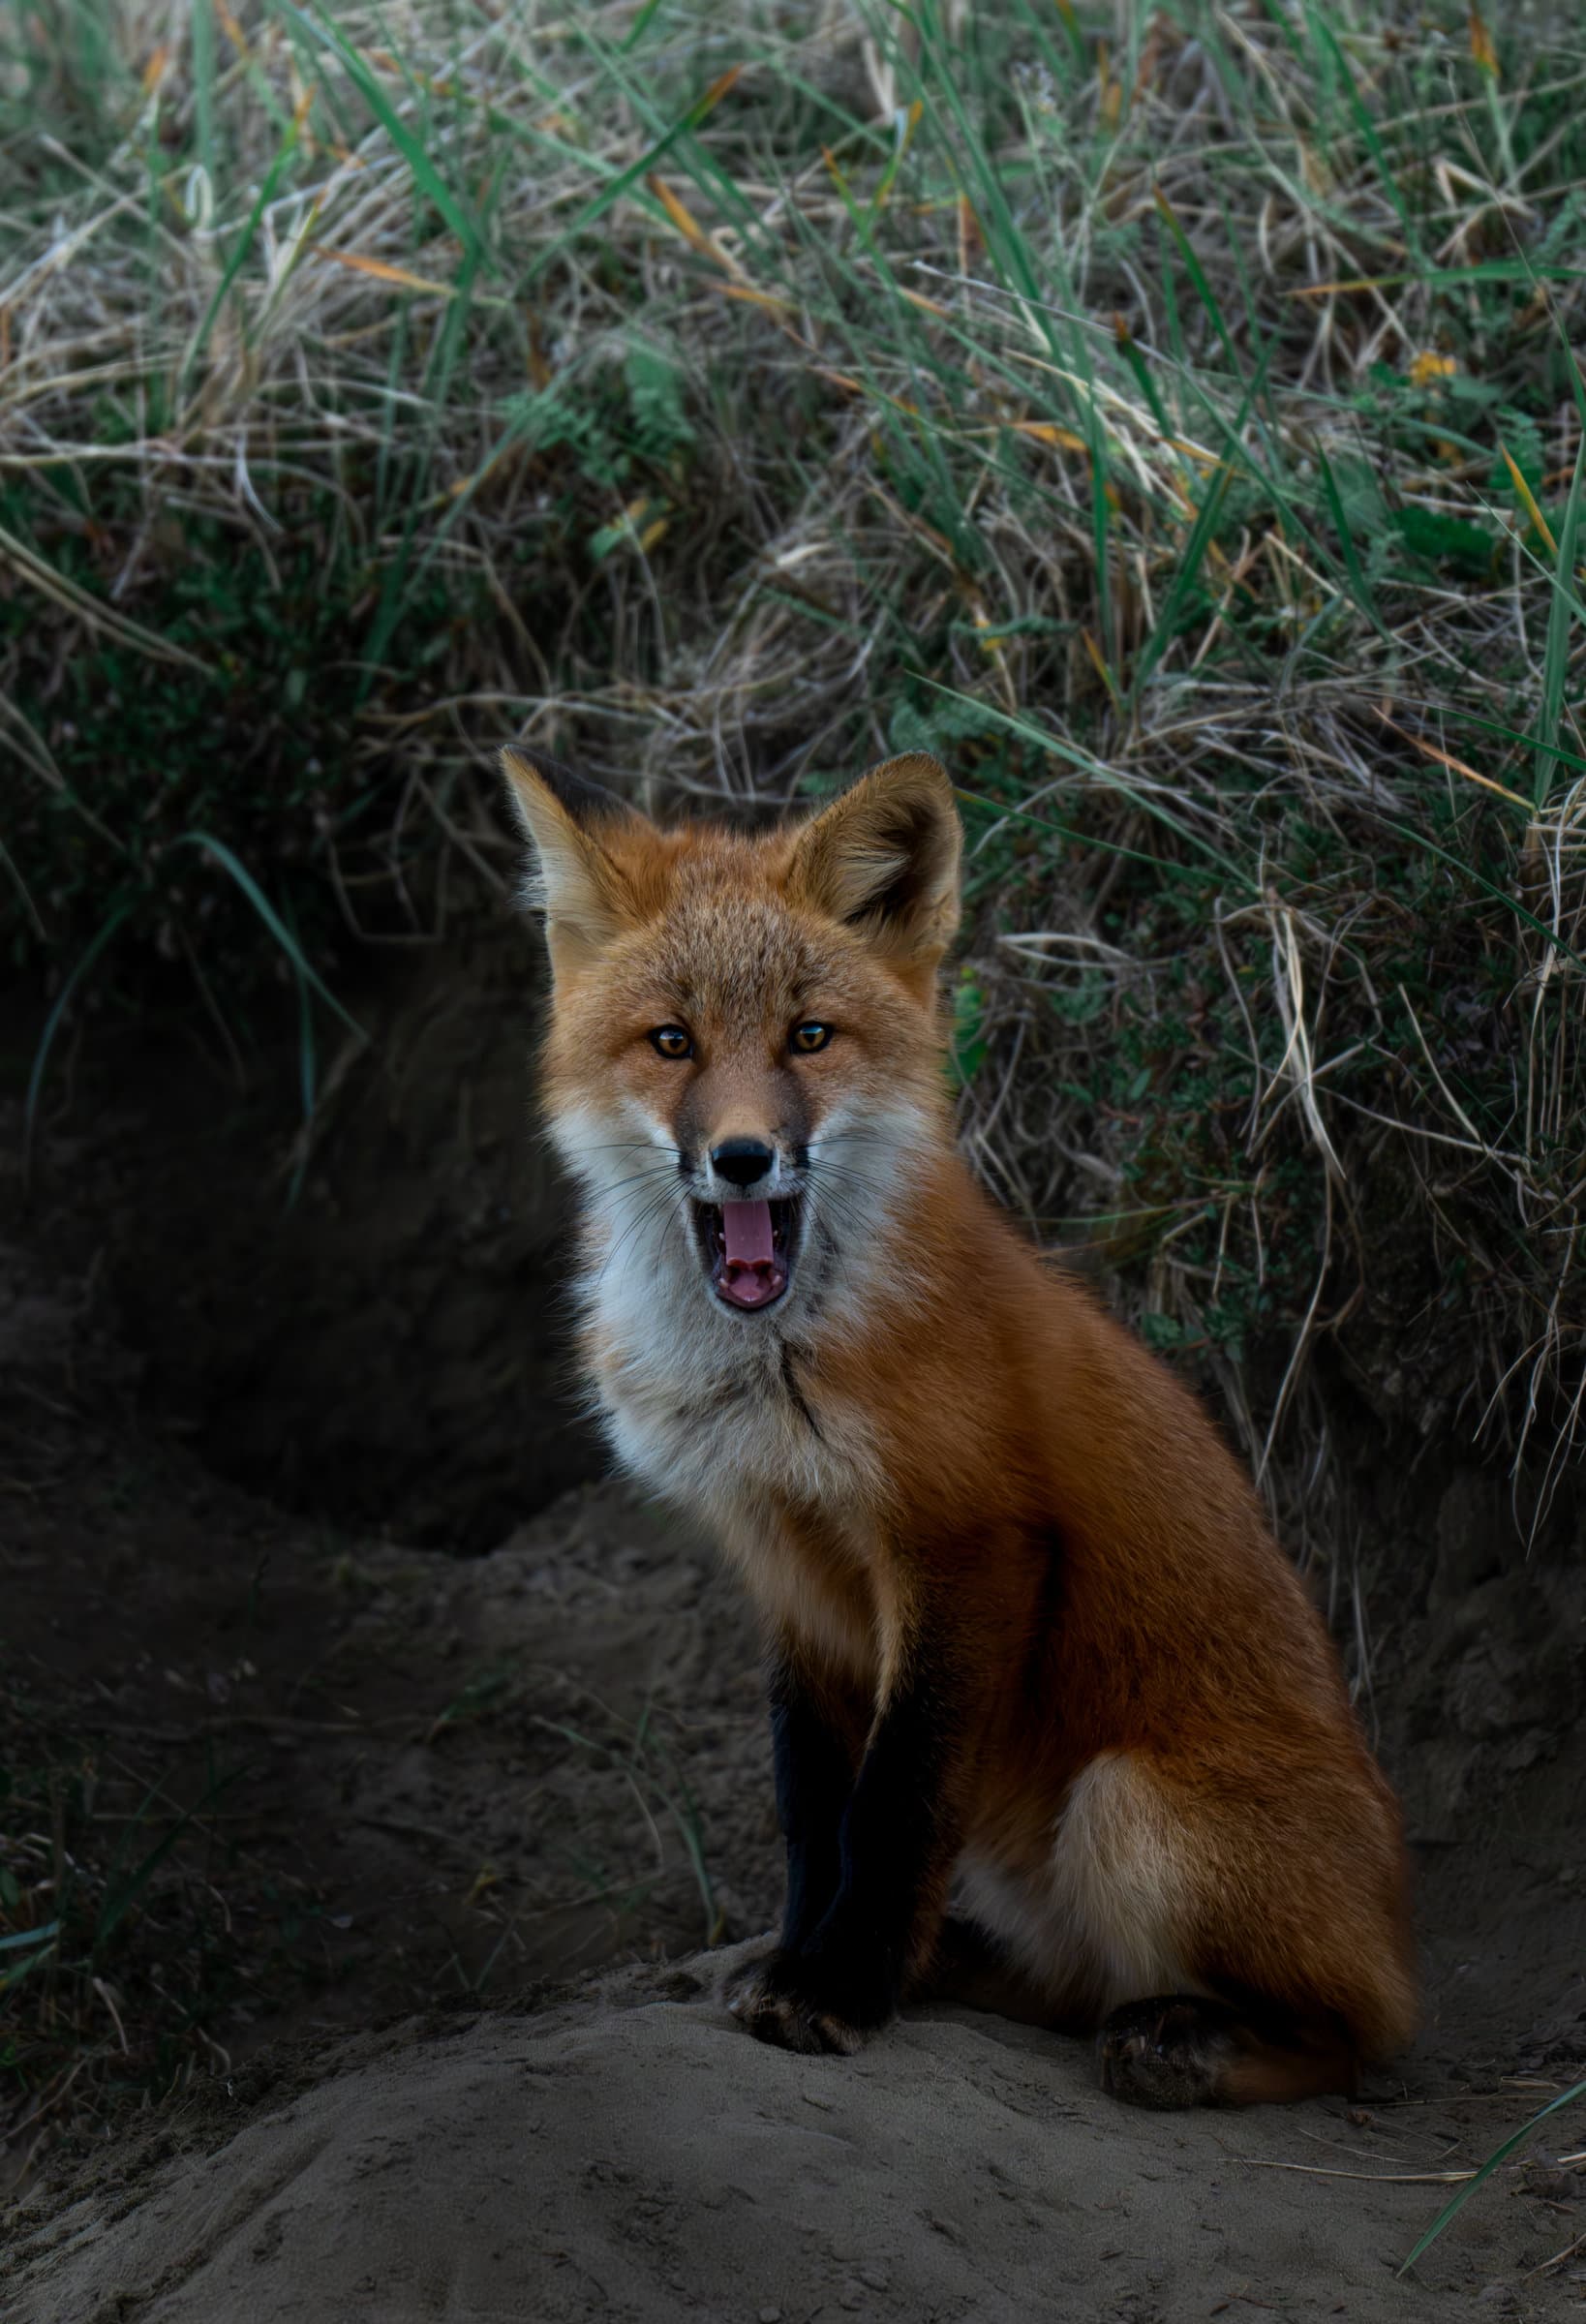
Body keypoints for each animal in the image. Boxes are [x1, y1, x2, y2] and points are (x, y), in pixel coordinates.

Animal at [500, 741, 1418, 2107]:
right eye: (671, 1042)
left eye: (808, 1037)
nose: (743, 1158)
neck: (772, 1378)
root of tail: (1401, 1928)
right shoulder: (787, 1570)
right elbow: (812, 1807)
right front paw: (814, 1954)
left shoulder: (968, 1544)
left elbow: (895, 1803)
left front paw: (833, 1989)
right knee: (1071, 1986)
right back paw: (955, 1965)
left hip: (1131, 1811)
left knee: (1357, 2038)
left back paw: (1191, 2041)